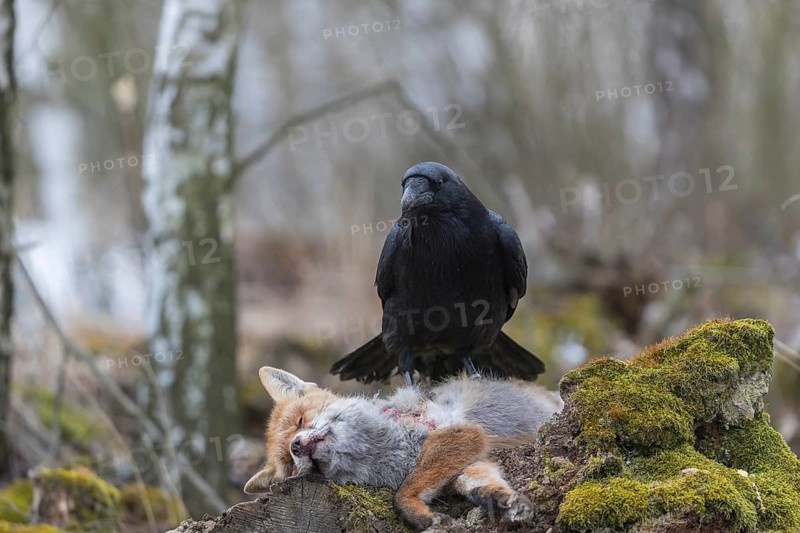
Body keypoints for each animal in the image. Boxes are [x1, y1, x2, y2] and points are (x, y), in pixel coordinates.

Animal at [244, 367, 563, 531]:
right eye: (289, 462)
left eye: (299, 421)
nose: (296, 446)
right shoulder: (469, 463)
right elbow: (475, 486)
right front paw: (502, 499)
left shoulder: (462, 434)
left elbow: (402, 494)